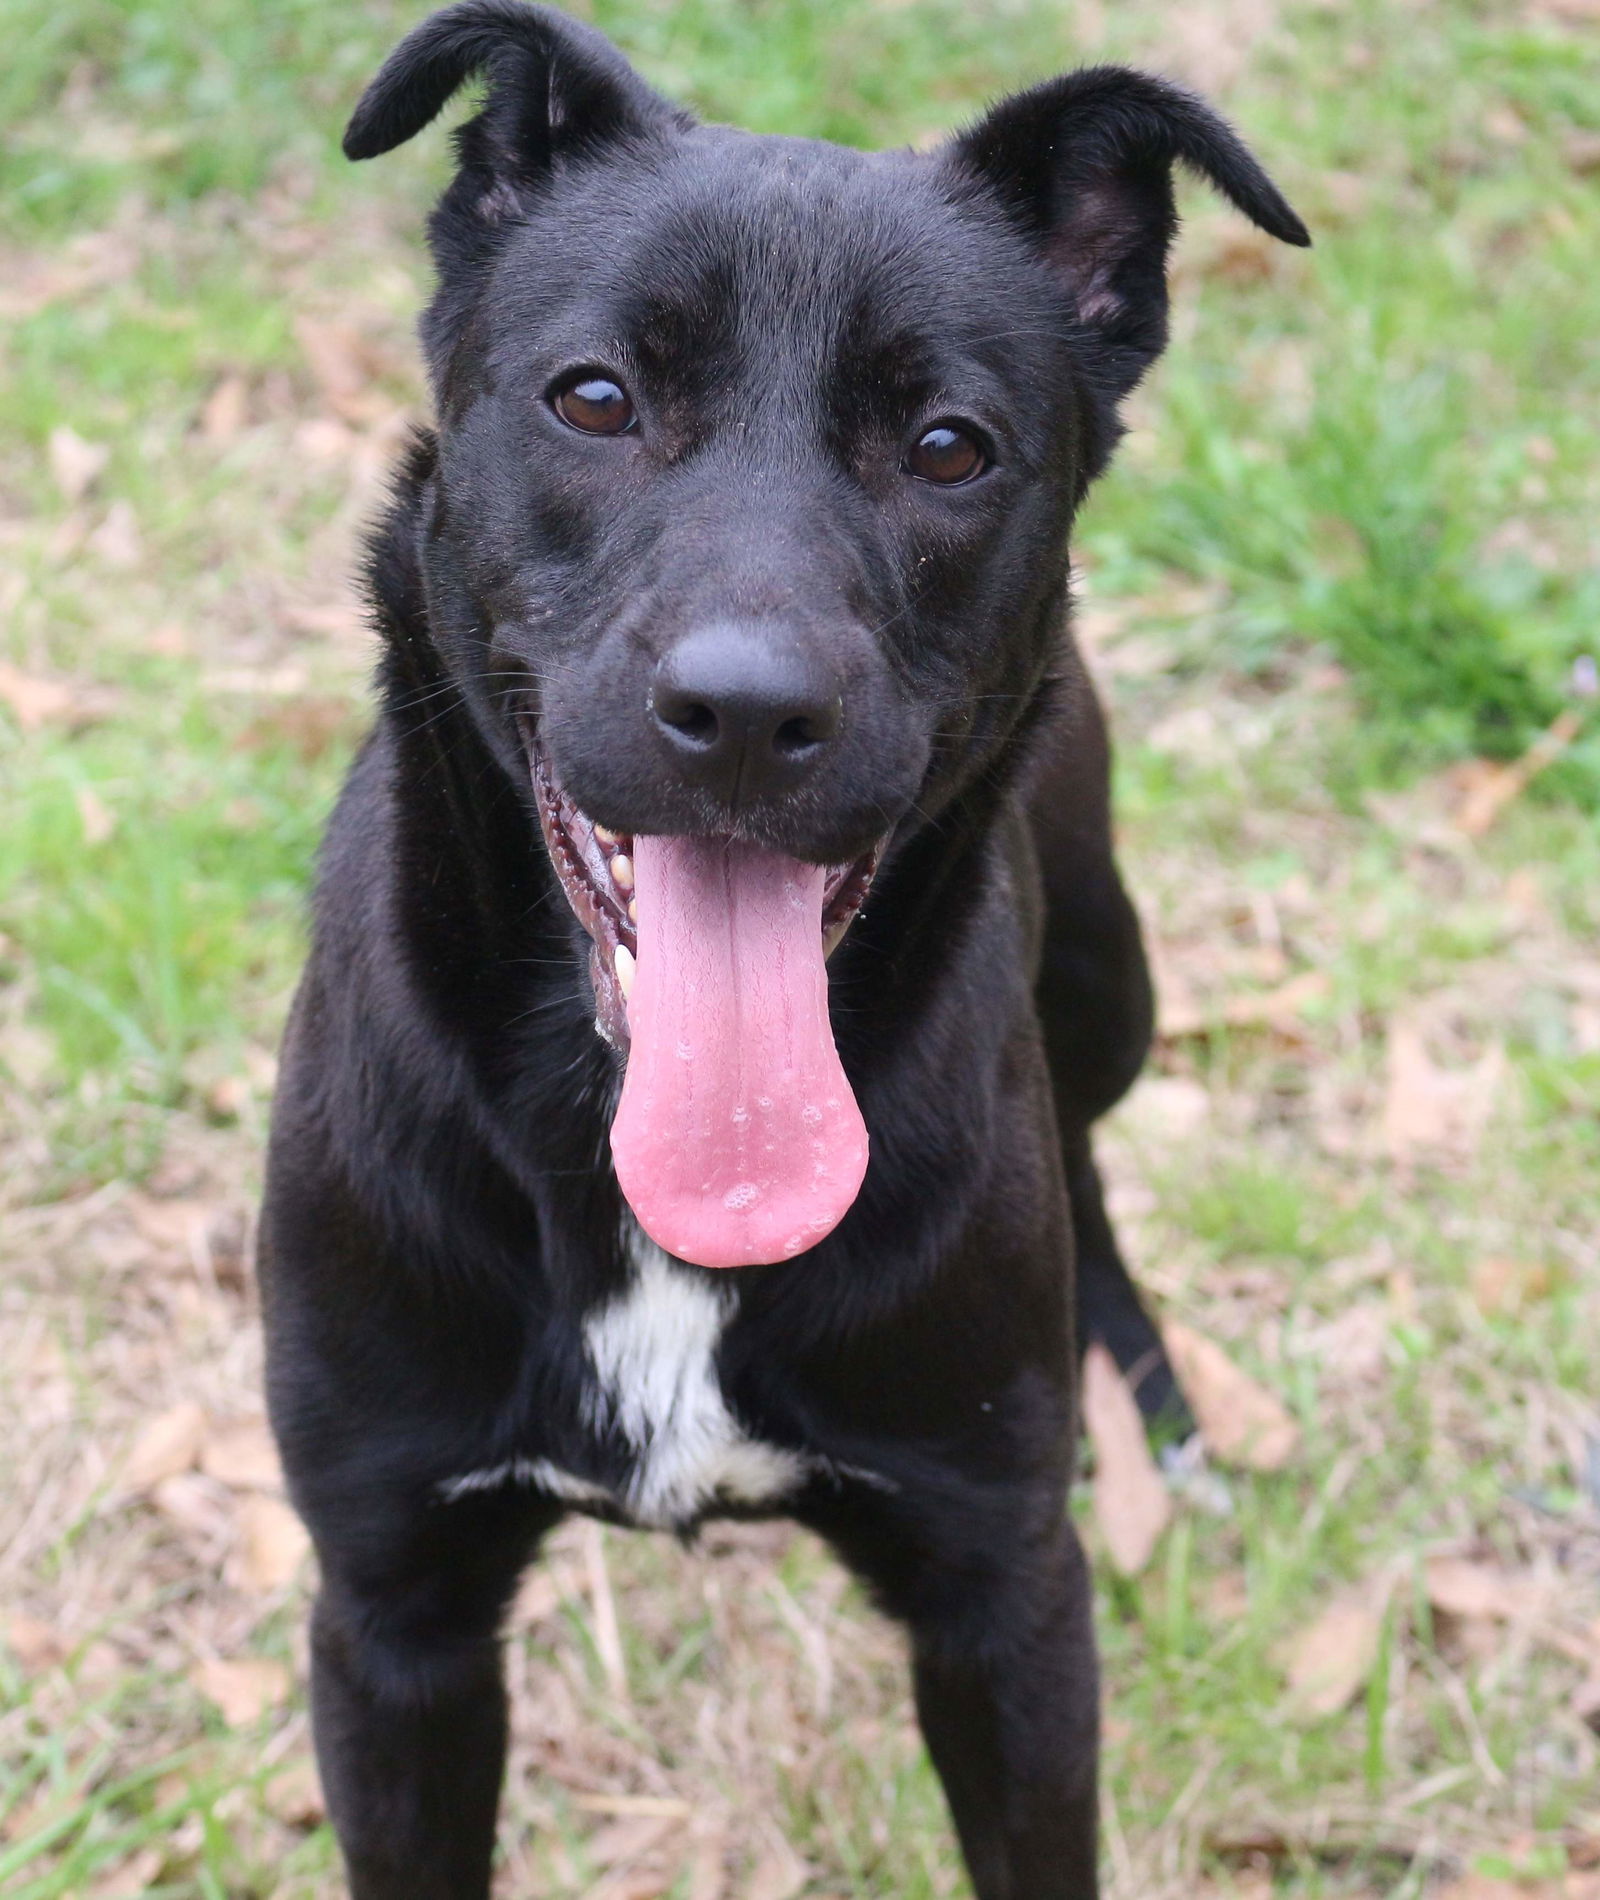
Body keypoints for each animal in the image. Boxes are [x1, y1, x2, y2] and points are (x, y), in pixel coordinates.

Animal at [262, 7, 1299, 1892]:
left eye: (950, 445)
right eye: (595, 398)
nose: (746, 714)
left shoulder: (1001, 1603)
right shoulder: (392, 1616)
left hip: (1108, 980)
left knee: (1086, 1147)